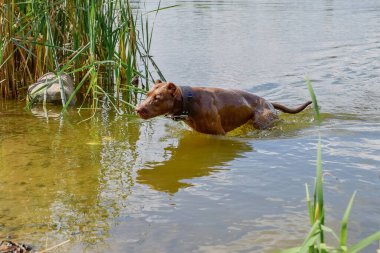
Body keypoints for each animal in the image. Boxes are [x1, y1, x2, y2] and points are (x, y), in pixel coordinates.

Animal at [137, 81, 312, 135]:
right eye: (147, 94)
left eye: (157, 98)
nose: (138, 109)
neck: (188, 102)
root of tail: (269, 102)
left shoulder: (218, 133)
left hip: (262, 120)